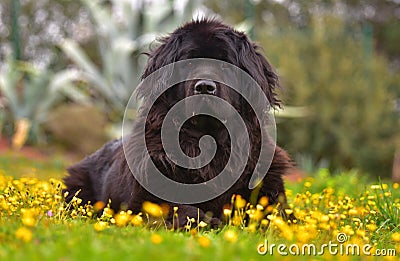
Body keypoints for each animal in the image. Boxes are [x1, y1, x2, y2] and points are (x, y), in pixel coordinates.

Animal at [62, 18, 294, 225]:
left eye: (226, 66)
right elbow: (184, 209)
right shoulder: (146, 196)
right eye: (188, 63)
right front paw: (210, 222)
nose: (205, 86)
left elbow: (276, 215)